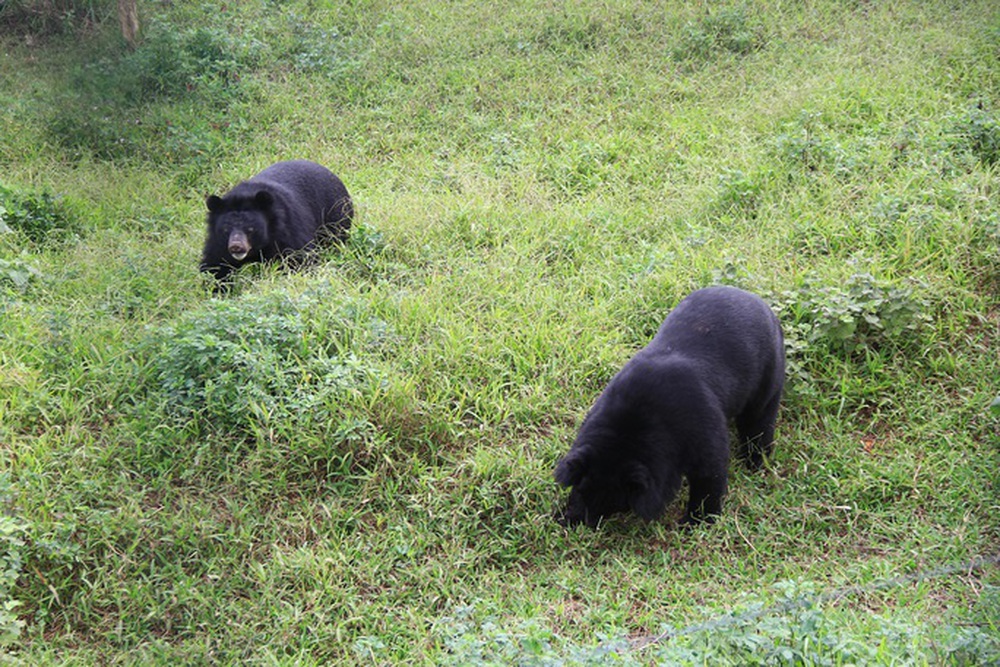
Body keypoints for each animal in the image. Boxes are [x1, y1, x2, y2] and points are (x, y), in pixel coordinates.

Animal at [198, 161, 352, 288]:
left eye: (250, 229)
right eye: (226, 230)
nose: (236, 247)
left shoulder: (289, 229)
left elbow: (300, 258)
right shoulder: (218, 243)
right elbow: (215, 266)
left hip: (334, 216)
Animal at [556, 284, 780, 528]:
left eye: (615, 504)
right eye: (580, 490)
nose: (583, 523)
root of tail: (754, 298)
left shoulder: (700, 425)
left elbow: (710, 471)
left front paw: (697, 521)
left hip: (769, 368)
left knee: (759, 418)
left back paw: (755, 461)